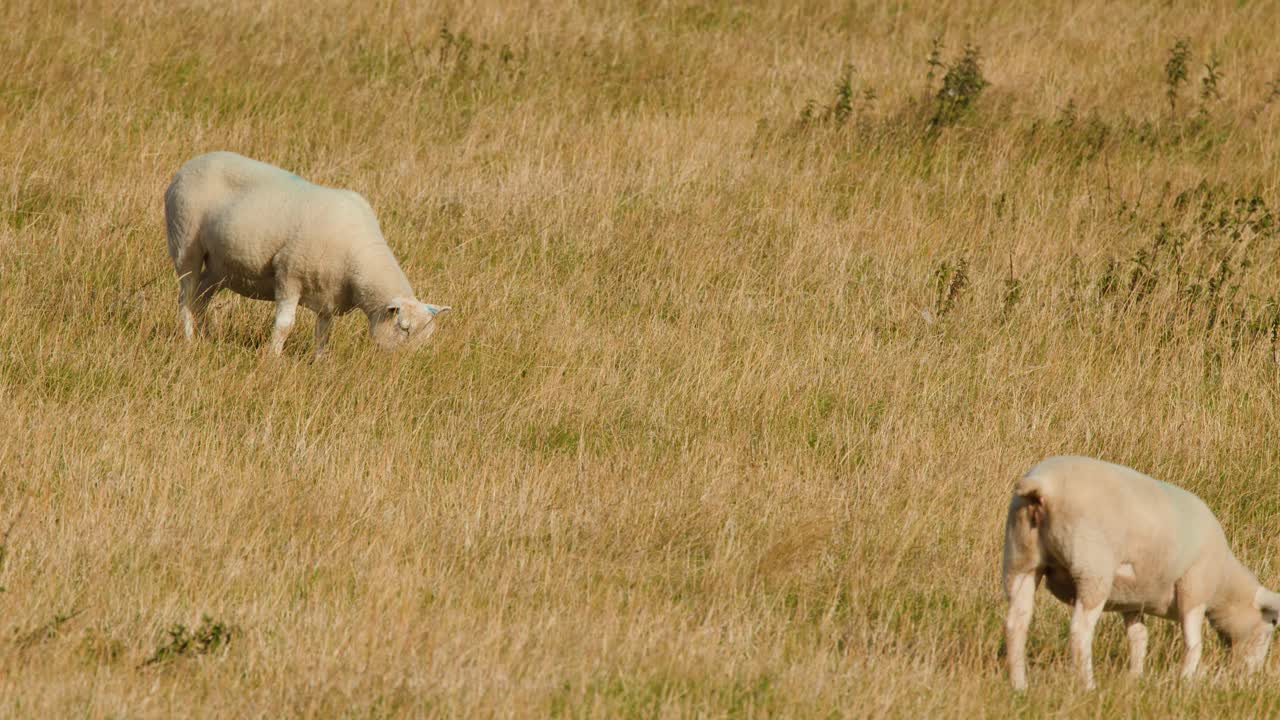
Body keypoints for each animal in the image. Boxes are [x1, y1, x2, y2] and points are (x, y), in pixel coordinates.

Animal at [164, 151, 450, 356]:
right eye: (404, 328)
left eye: (427, 337)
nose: (405, 366)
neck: (358, 263)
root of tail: (187, 166)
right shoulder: (288, 274)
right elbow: (284, 325)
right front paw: (273, 358)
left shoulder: (329, 294)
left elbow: (323, 332)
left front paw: (320, 362)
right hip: (185, 241)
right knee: (186, 294)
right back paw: (189, 339)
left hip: (219, 265)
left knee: (201, 295)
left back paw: (206, 336)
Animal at [1003, 455, 1279, 690]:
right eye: (1272, 623)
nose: (1251, 677)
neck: (1224, 582)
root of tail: (1042, 486)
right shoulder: (1193, 588)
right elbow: (1193, 643)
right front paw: (1185, 682)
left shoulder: (1133, 600)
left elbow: (1138, 639)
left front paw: (1135, 678)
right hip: (1092, 568)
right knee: (1080, 631)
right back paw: (1088, 686)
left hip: (1021, 560)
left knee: (1017, 622)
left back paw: (1019, 685)